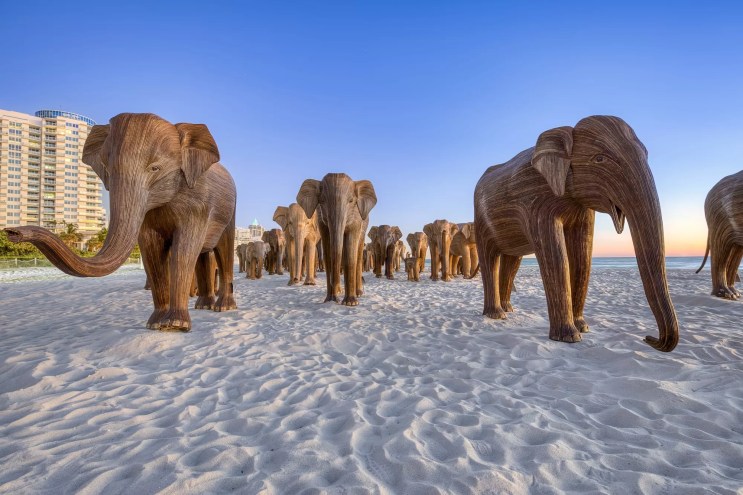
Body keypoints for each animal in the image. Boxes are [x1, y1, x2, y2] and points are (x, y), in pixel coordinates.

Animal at [5, 113, 237, 331]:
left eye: (155, 168)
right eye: (106, 168)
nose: (12, 232)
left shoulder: (197, 202)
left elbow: (184, 250)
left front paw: (175, 325)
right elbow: (150, 249)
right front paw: (155, 325)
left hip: (230, 210)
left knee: (223, 250)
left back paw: (223, 308)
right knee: (204, 255)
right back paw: (204, 306)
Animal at [297, 173, 377, 306]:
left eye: (351, 201)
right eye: (322, 201)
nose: (336, 299)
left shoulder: (356, 217)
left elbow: (350, 254)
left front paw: (350, 303)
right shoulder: (321, 219)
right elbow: (328, 253)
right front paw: (330, 300)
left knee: (358, 253)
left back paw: (358, 294)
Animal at [473, 115, 678, 352]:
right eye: (599, 158)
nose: (648, 338)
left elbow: (583, 255)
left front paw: (583, 328)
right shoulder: (537, 200)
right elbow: (556, 255)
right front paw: (569, 337)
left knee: (512, 260)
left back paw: (508, 310)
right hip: (481, 217)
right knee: (490, 257)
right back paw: (496, 315)